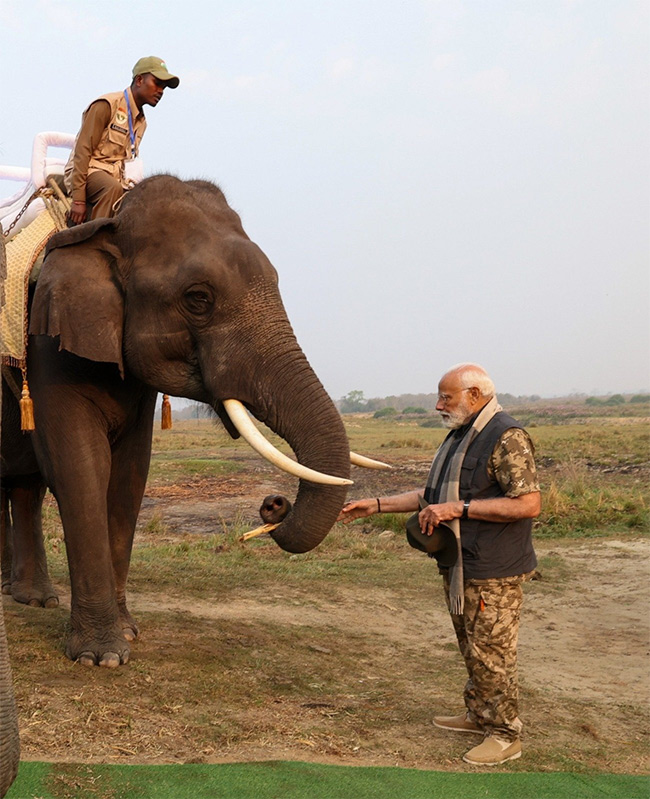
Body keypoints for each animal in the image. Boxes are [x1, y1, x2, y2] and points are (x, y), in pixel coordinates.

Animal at [2, 175, 356, 668]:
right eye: (198, 299)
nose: (274, 505)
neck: (109, 222)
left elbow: (130, 473)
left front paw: (127, 634)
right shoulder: (49, 340)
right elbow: (79, 468)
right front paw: (101, 658)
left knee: (23, 486)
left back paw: (32, 599)